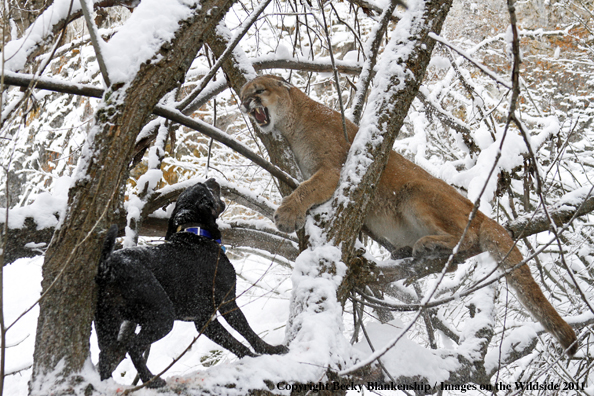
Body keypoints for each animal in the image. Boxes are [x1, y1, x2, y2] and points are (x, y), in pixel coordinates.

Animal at [96, 179, 288, 386]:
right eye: (206, 189)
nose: (211, 179)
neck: (195, 233)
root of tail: (109, 267)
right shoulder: (226, 304)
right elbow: (246, 332)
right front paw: (268, 351)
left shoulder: (204, 320)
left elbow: (231, 342)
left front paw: (253, 357)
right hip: (162, 316)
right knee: (133, 346)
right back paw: (152, 380)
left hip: (106, 324)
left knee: (104, 357)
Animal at [238, 74, 576, 356]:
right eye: (242, 94)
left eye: (258, 90)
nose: (245, 104)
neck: (295, 121)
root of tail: (479, 211)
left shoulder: (333, 170)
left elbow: (306, 189)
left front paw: (286, 214)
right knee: (455, 262)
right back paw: (408, 250)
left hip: (416, 192)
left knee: (465, 237)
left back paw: (428, 244)